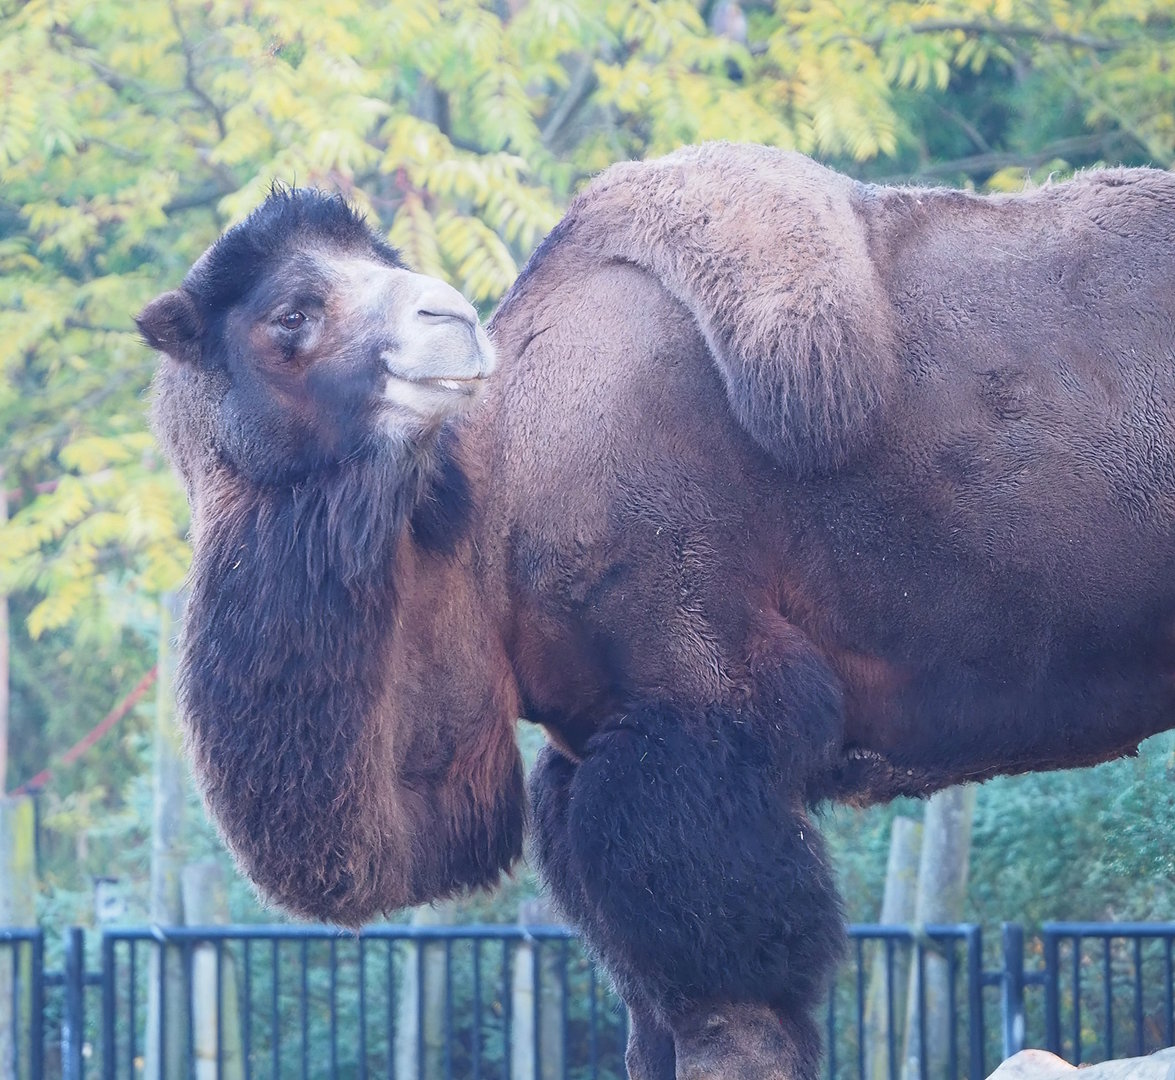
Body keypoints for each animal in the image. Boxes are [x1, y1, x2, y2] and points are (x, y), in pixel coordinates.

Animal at [139, 145, 1175, 1080]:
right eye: (290, 313)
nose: (449, 318)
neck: (501, 501)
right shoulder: (587, 754)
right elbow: (649, 1029)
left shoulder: (698, 712)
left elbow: (732, 1017)